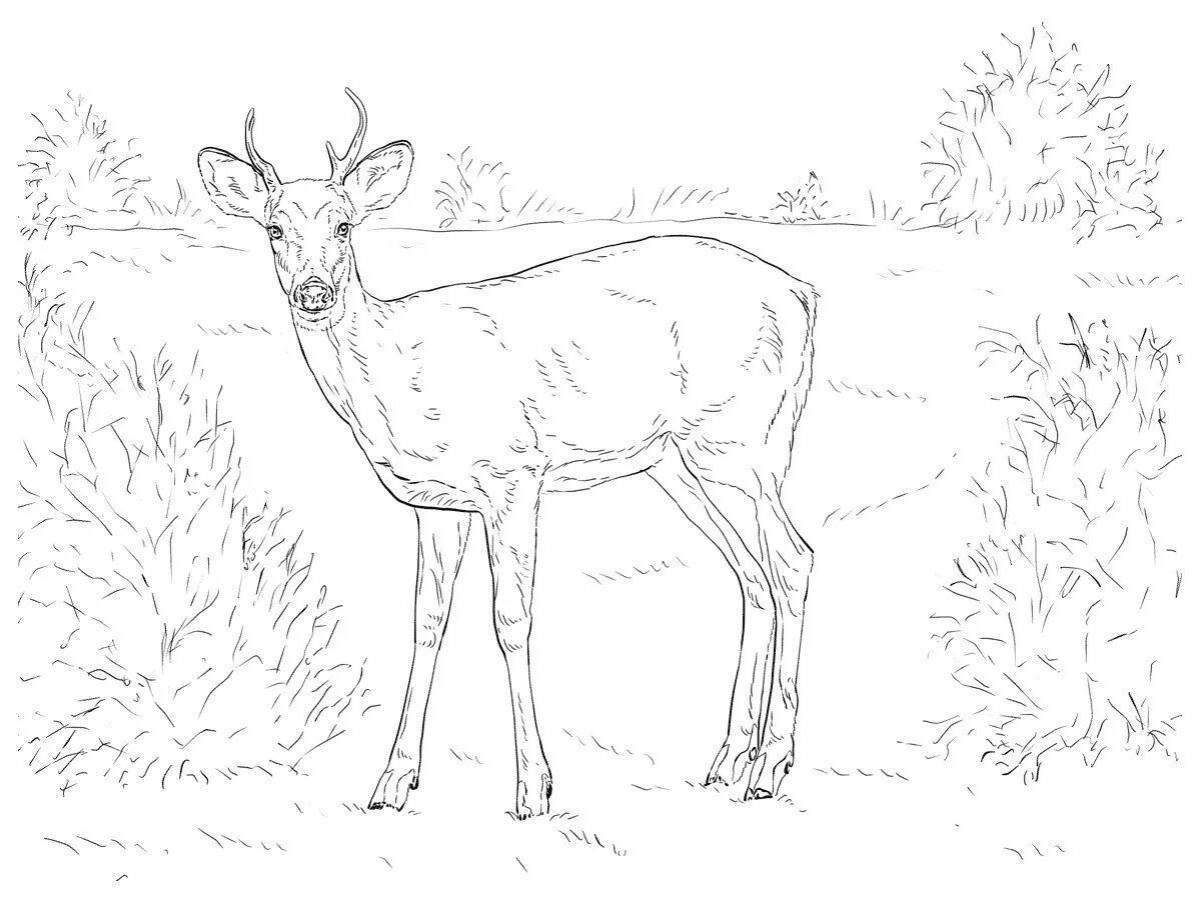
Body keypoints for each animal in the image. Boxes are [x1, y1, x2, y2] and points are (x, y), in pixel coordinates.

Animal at [198, 89, 817, 819]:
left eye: (345, 226)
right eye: (274, 229)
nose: (314, 293)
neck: (396, 373)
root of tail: (805, 296)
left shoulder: (514, 472)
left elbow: (511, 620)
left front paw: (533, 786)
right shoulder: (437, 503)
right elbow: (427, 621)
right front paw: (392, 781)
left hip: (745, 441)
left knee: (793, 560)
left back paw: (771, 765)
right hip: (678, 460)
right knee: (752, 573)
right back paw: (726, 761)